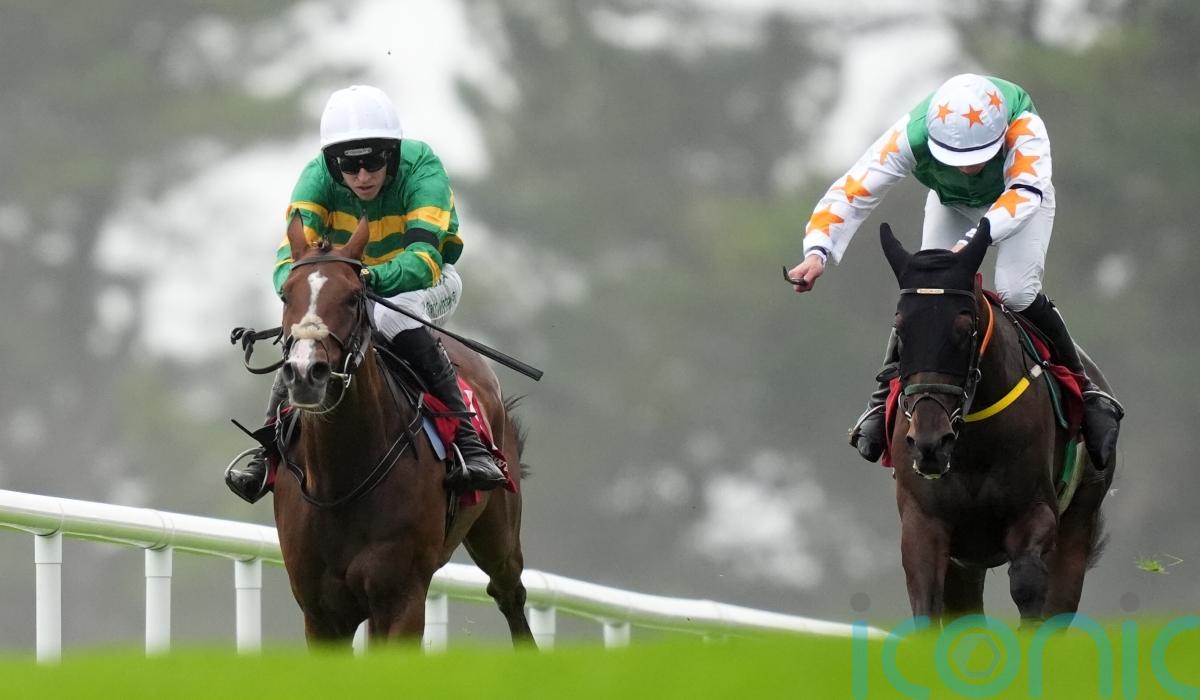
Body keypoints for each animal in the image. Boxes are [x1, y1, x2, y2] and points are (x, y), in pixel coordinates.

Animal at [271, 213, 533, 646]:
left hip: (499, 531)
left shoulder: (401, 597)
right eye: (285, 296)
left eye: (353, 297)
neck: (341, 479)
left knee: (509, 593)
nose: (307, 373)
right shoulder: (320, 612)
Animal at [879, 219, 1114, 626]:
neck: (972, 444)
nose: (930, 443)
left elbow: (1027, 586)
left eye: (963, 329)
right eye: (901, 330)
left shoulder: (1035, 513)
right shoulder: (923, 523)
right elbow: (927, 604)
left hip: (1080, 521)